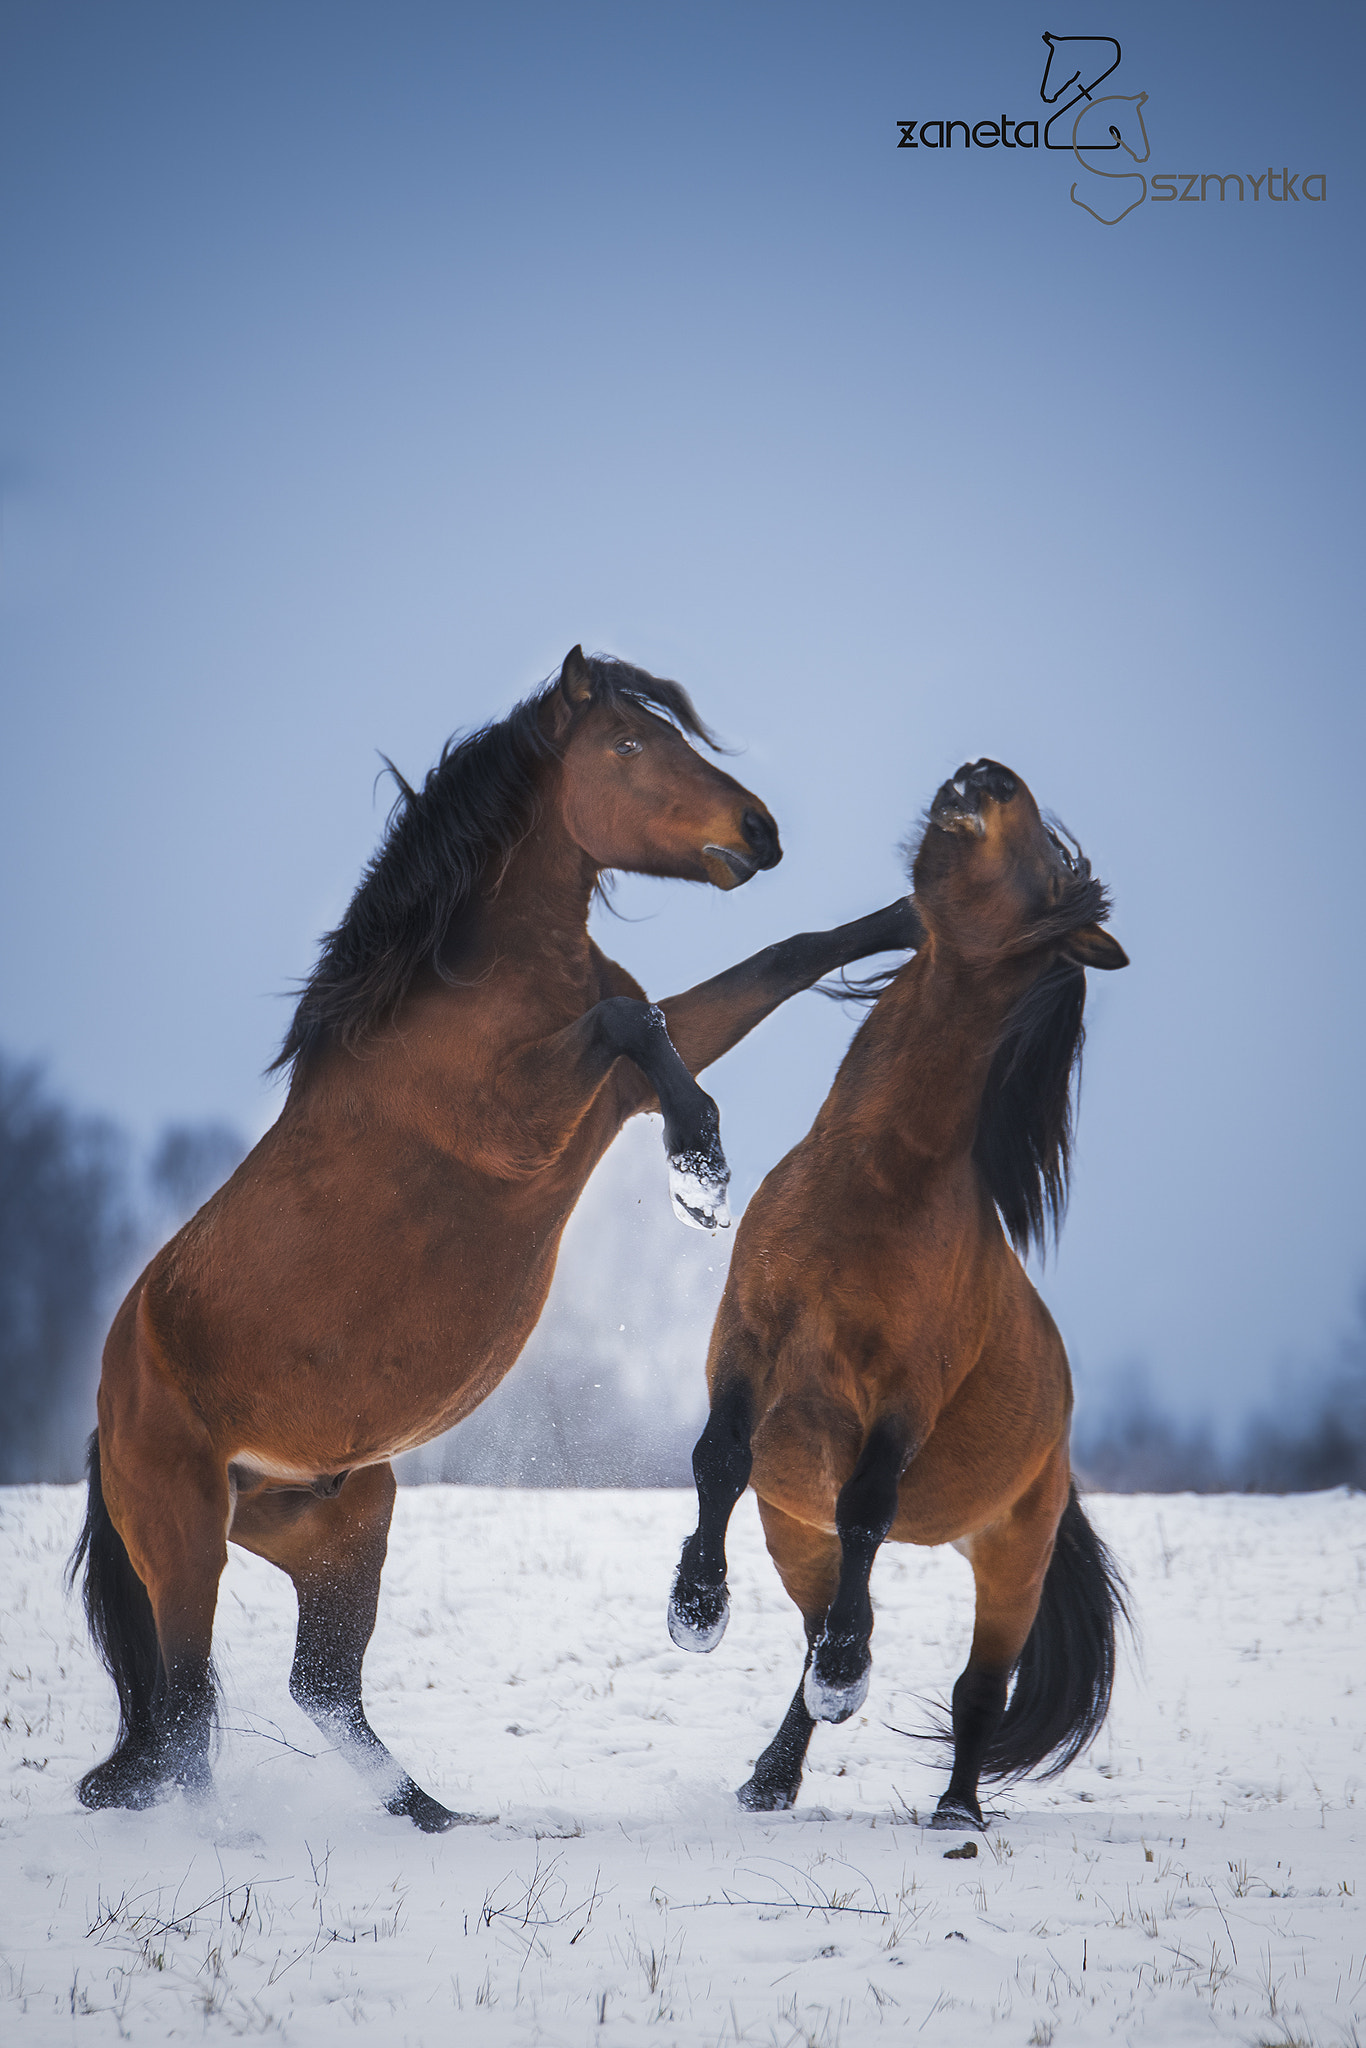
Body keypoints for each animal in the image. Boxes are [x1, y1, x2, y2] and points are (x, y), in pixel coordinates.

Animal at [66, 647, 917, 1835]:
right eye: (627, 744)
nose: (759, 831)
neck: (472, 988)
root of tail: (109, 1405)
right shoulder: (532, 1114)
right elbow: (634, 1022)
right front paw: (702, 1170)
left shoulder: (611, 1092)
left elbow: (778, 961)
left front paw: (921, 913)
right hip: (186, 1541)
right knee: (190, 1717)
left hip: (343, 1523)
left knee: (320, 1687)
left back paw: (434, 1815)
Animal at [671, 761, 1130, 1835]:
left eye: (1050, 863)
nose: (987, 776)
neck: (875, 1179)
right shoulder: (744, 1339)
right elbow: (718, 1459)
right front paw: (697, 1607)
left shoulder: (907, 1391)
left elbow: (871, 1508)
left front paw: (849, 1670)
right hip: (791, 1532)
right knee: (809, 1629)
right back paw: (771, 1779)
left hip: (1013, 1552)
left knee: (979, 1688)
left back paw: (956, 1809)